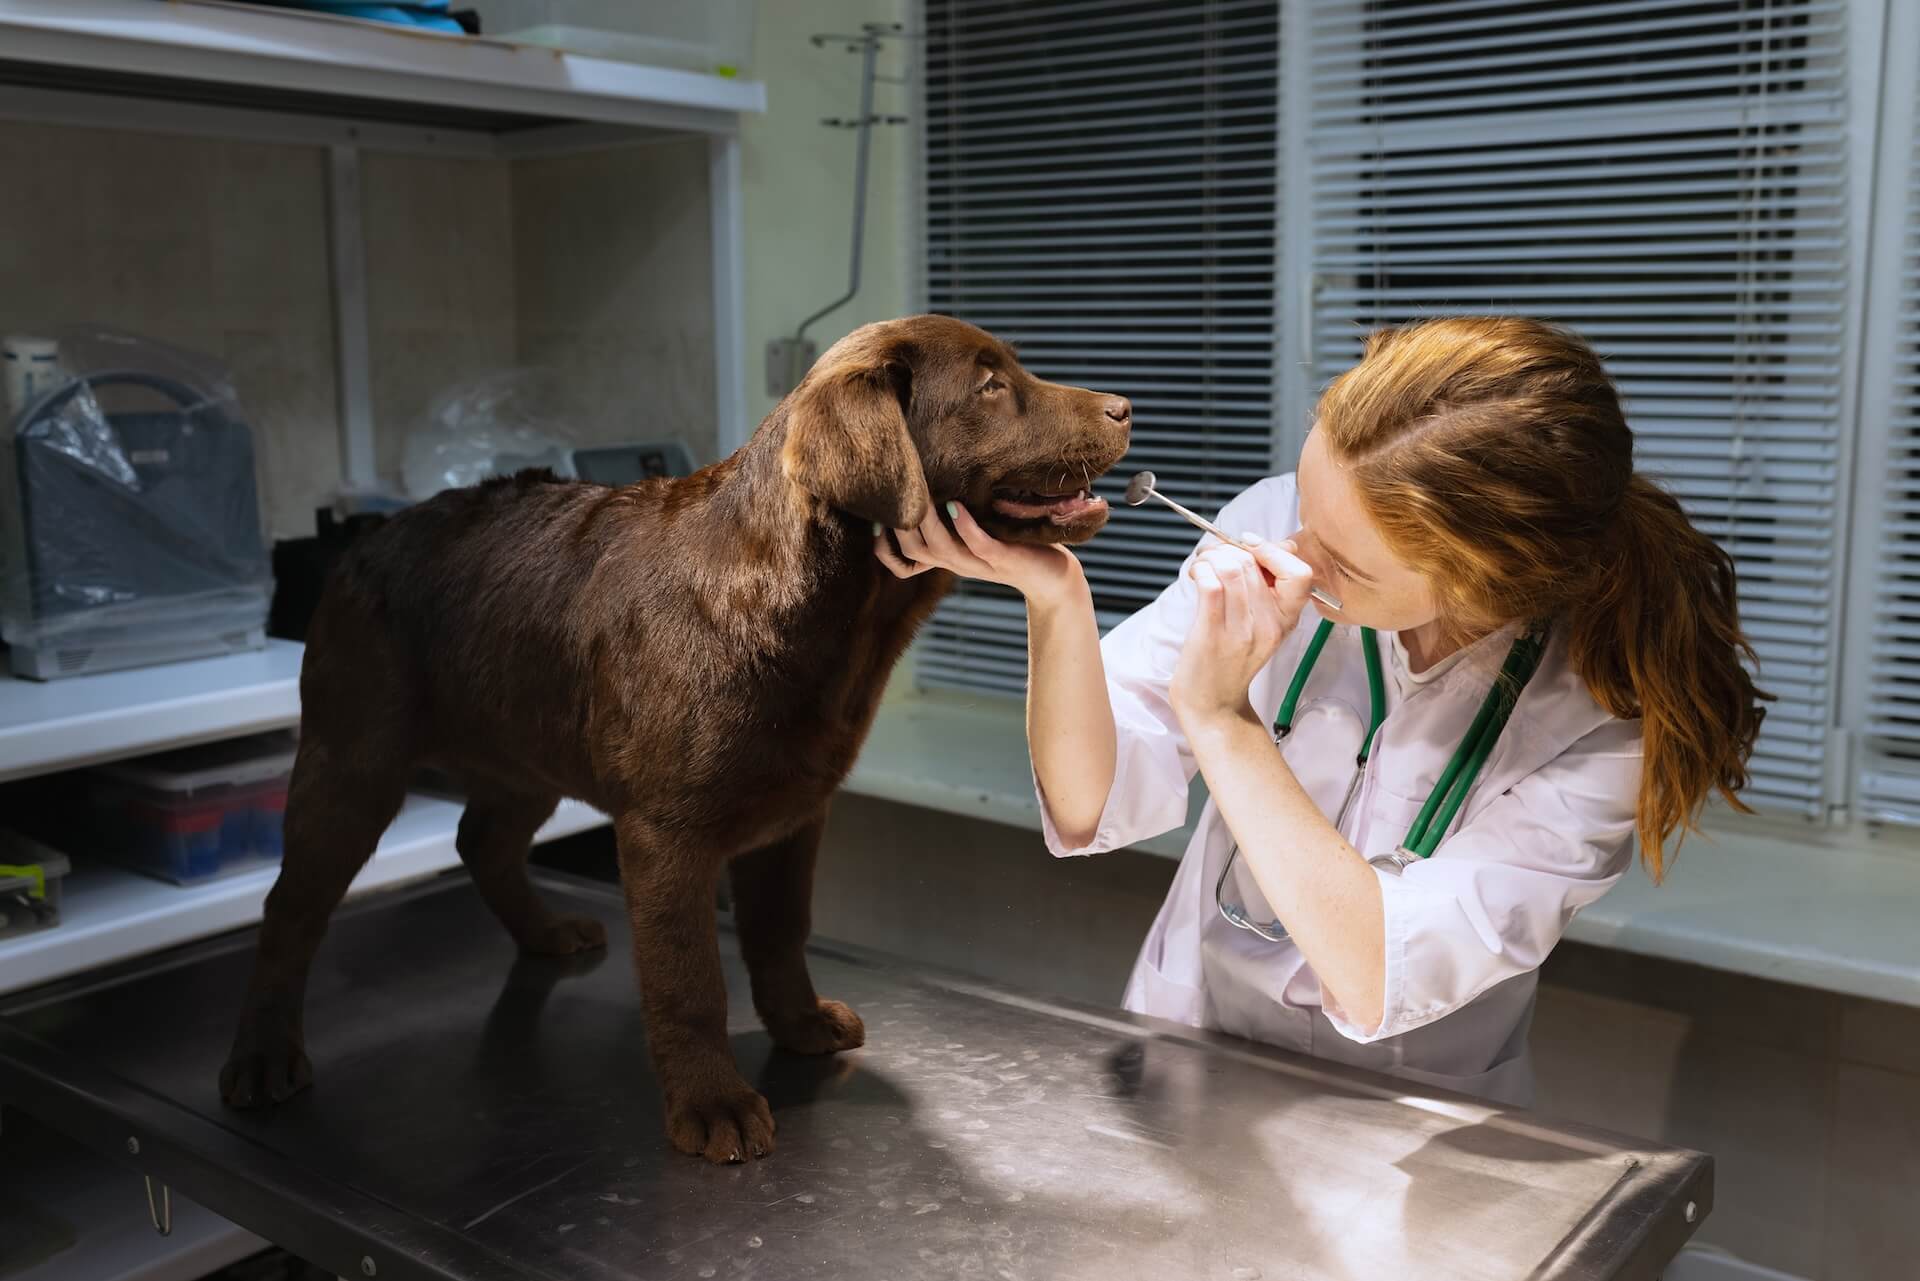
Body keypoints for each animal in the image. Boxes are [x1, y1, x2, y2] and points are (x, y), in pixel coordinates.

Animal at [219, 318, 1128, 1160]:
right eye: (989, 386)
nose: (1124, 406)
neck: (821, 608)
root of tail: (356, 543)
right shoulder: (666, 833)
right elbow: (689, 977)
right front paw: (712, 1103)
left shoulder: (795, 815)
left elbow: (780, 929)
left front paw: (800, 1021)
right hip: (351, 757)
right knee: (290, 906)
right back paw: (261, 1055)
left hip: (525, 748)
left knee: (483, 839)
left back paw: (544, 933)